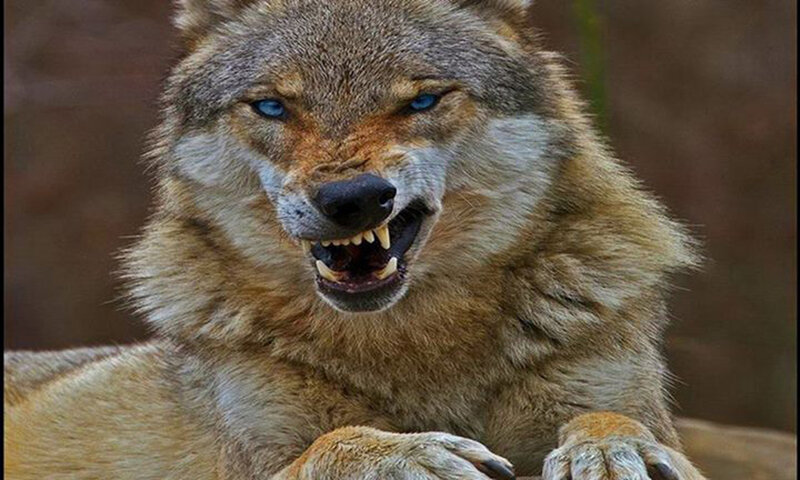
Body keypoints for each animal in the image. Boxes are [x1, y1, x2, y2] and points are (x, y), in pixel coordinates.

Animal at [4, 0, 707, 478]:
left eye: (422, 100)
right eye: (272, 107)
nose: (352, 199)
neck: (413, 345)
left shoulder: (626, 398)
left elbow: (612, 417)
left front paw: (616, 447)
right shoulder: (258, 456)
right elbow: (332, 441)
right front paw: (406, 455)